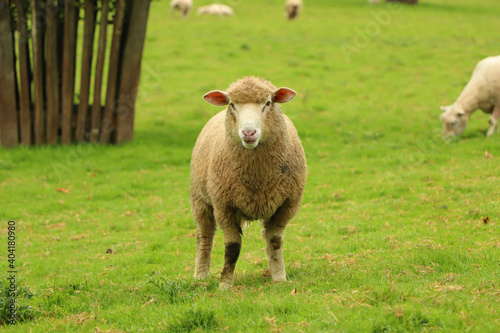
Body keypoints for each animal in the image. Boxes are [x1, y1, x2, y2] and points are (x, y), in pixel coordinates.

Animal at [191, 75, 306, 288]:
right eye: (232, 104)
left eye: (268, 103)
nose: (249, 133)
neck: (258, 178)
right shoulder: (223, 206)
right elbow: (232, 247)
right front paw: (225, 285)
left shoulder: (287, 205)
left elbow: (274, 241)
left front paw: (279, 277)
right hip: (199, 199)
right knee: (205, 236)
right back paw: (200, 275)